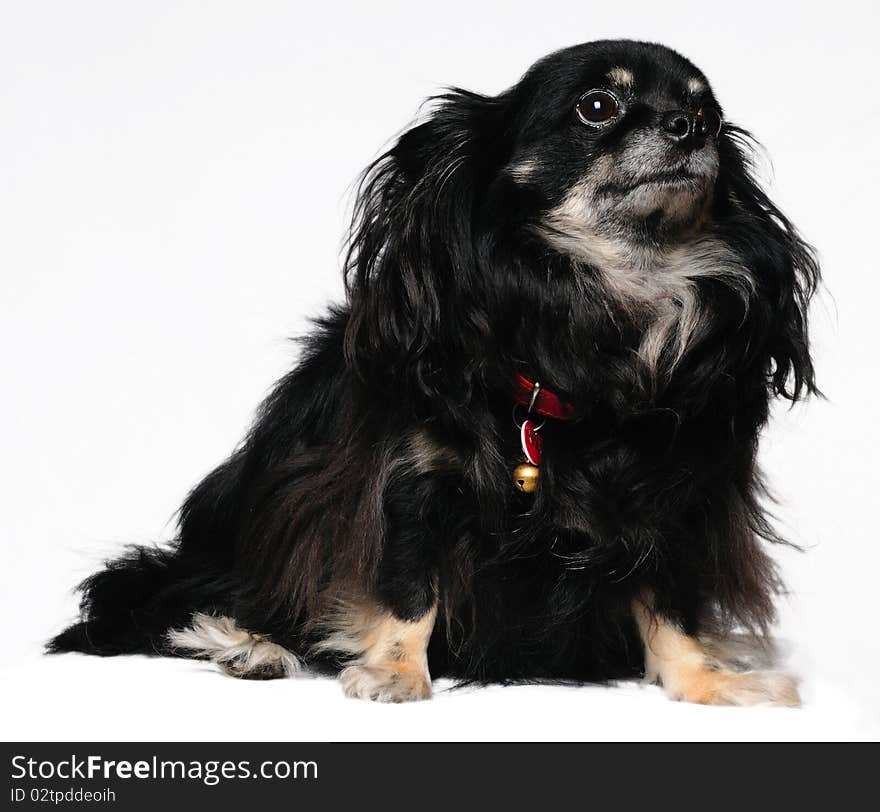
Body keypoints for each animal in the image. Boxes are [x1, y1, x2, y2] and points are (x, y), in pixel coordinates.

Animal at [49, 41, 820, 708]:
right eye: (597, 106)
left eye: (709, 114)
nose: (689, 128)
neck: (590, 330)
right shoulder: (411, 484)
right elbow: (409, 587)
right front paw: (394, 672)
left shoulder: (671, 502)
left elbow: (672, 606)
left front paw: (708, 682)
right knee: (172, 594)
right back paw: (248, 645)